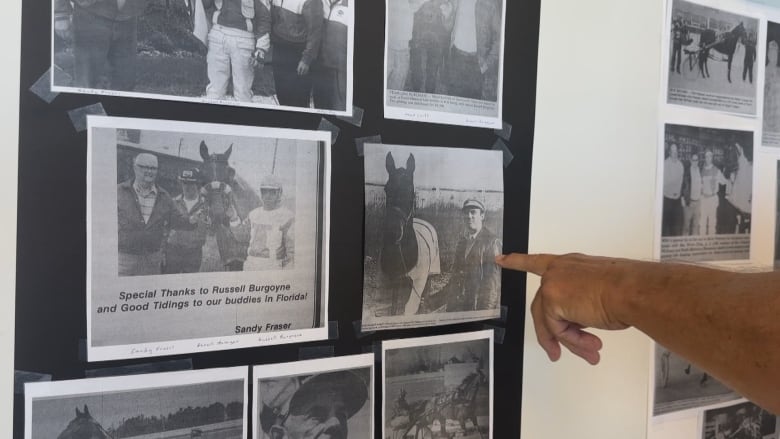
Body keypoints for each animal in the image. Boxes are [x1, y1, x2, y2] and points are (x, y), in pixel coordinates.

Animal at [378, 153, 438, 318]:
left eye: (411, 190)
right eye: (386, 188)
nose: (392, 232)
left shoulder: (418, 280)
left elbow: (409, 309)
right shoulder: (395, 279)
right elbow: (393, 308)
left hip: (431, 271)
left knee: (426, 292)